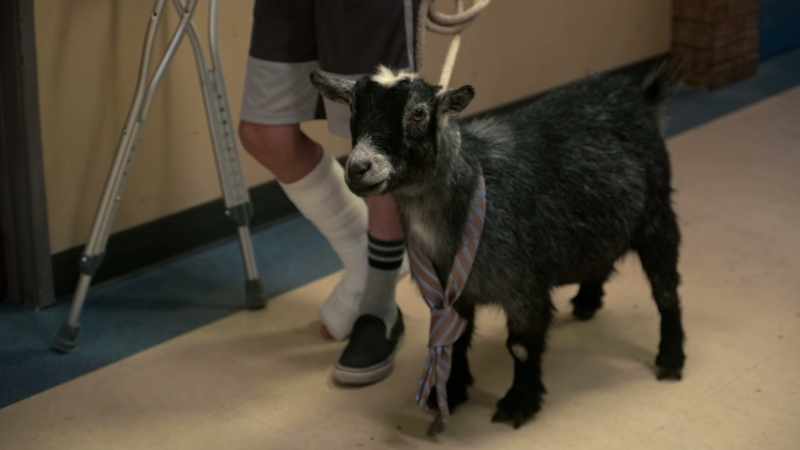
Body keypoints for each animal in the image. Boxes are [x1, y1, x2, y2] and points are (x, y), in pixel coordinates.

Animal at [310, 60, 685, 429]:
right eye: (352, 108)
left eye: (417, 113)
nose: (359, 167)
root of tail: (639, 95)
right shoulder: (452, 295)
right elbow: (455, 340)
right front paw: (450, 390)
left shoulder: (524, 287)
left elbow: (520, 346)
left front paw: (520, 402)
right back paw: (587, 302)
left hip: (656, 214)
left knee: (666, 290)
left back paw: (670, 358)